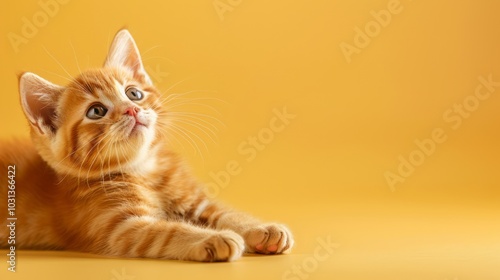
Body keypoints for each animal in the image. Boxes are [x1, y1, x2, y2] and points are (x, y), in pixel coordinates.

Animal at [0, 29, 292, 262]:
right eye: (96, 111)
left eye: (134, 93)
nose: (131, 109)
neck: (146, 170)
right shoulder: (122, 228)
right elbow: (166, 232)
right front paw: (213, 238)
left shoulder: (193, 200)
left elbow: (226, 213)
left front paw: (262, 229)